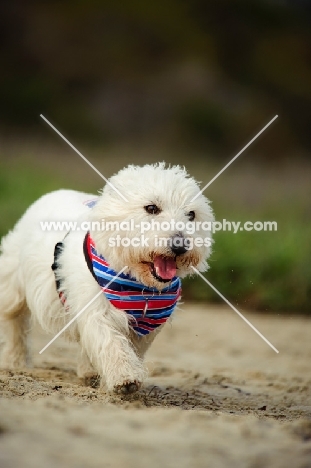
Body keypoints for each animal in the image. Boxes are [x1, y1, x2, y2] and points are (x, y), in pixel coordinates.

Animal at [0, 163, 214, 394]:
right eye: (151, 208)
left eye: (191, 214)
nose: (180, 245)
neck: (139, 285)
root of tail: (54, 192)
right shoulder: (95, 309)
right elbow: (110, 341)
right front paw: (125, 378)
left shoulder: (148, 323)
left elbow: (128, 347)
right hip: (14, 284)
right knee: (14, 320)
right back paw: (15, 362)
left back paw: (87, 372)